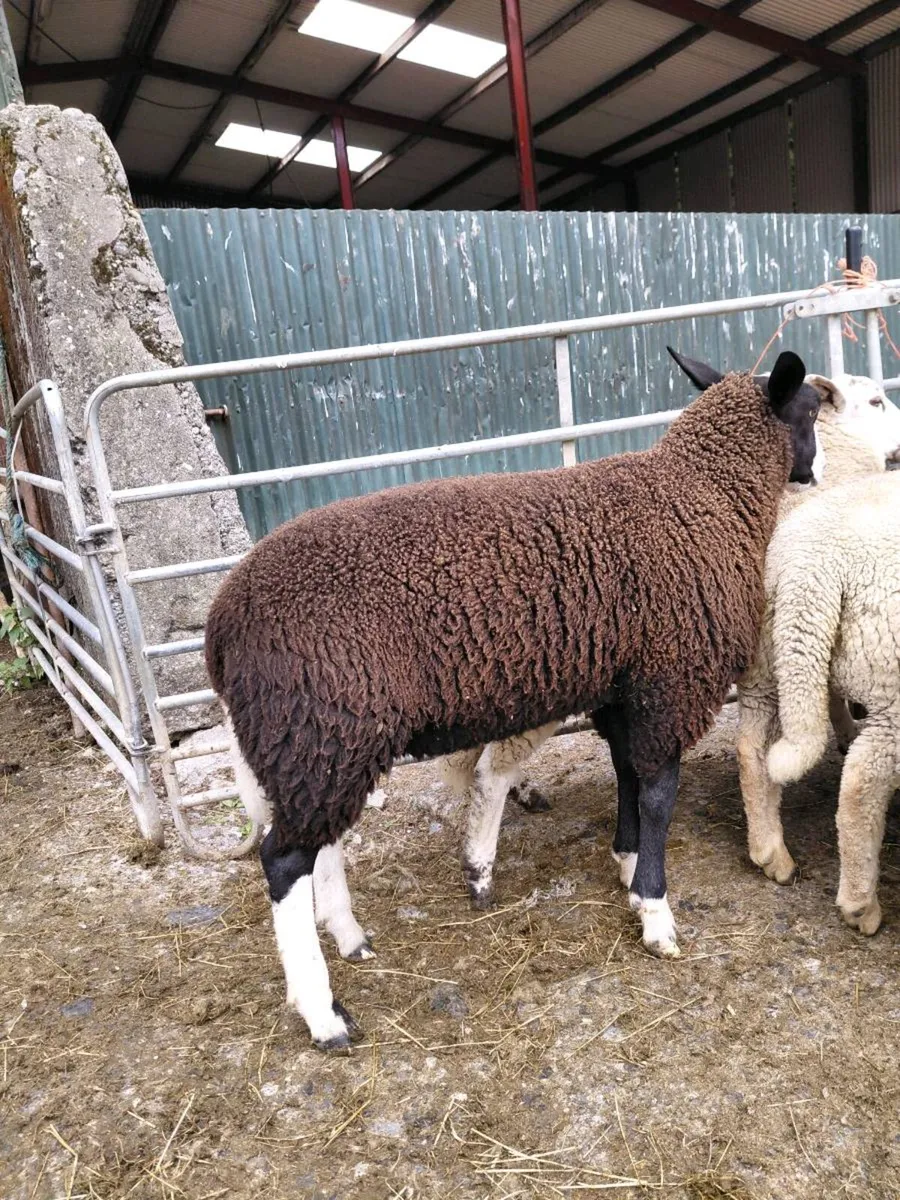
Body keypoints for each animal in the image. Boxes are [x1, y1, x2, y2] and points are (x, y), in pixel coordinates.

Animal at [205, 349, 819, 1050]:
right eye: (811, 411)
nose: (818, 468)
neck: (706, 493)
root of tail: (220, 626)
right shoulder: (671, 680)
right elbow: (659, 794)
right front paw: (656, 913)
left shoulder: (624, 683)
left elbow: (627, 776)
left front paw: (628, 867)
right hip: (320, 721)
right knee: (284, 860)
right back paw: (324, 1014)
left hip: (326, 734)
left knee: (320, 840)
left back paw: (349, 936)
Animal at [747, 470, 900, 935]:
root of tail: (811, 565)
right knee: (861, 783)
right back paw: (861, 908)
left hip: (773, 658)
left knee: (753, 748)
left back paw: (771, 856)